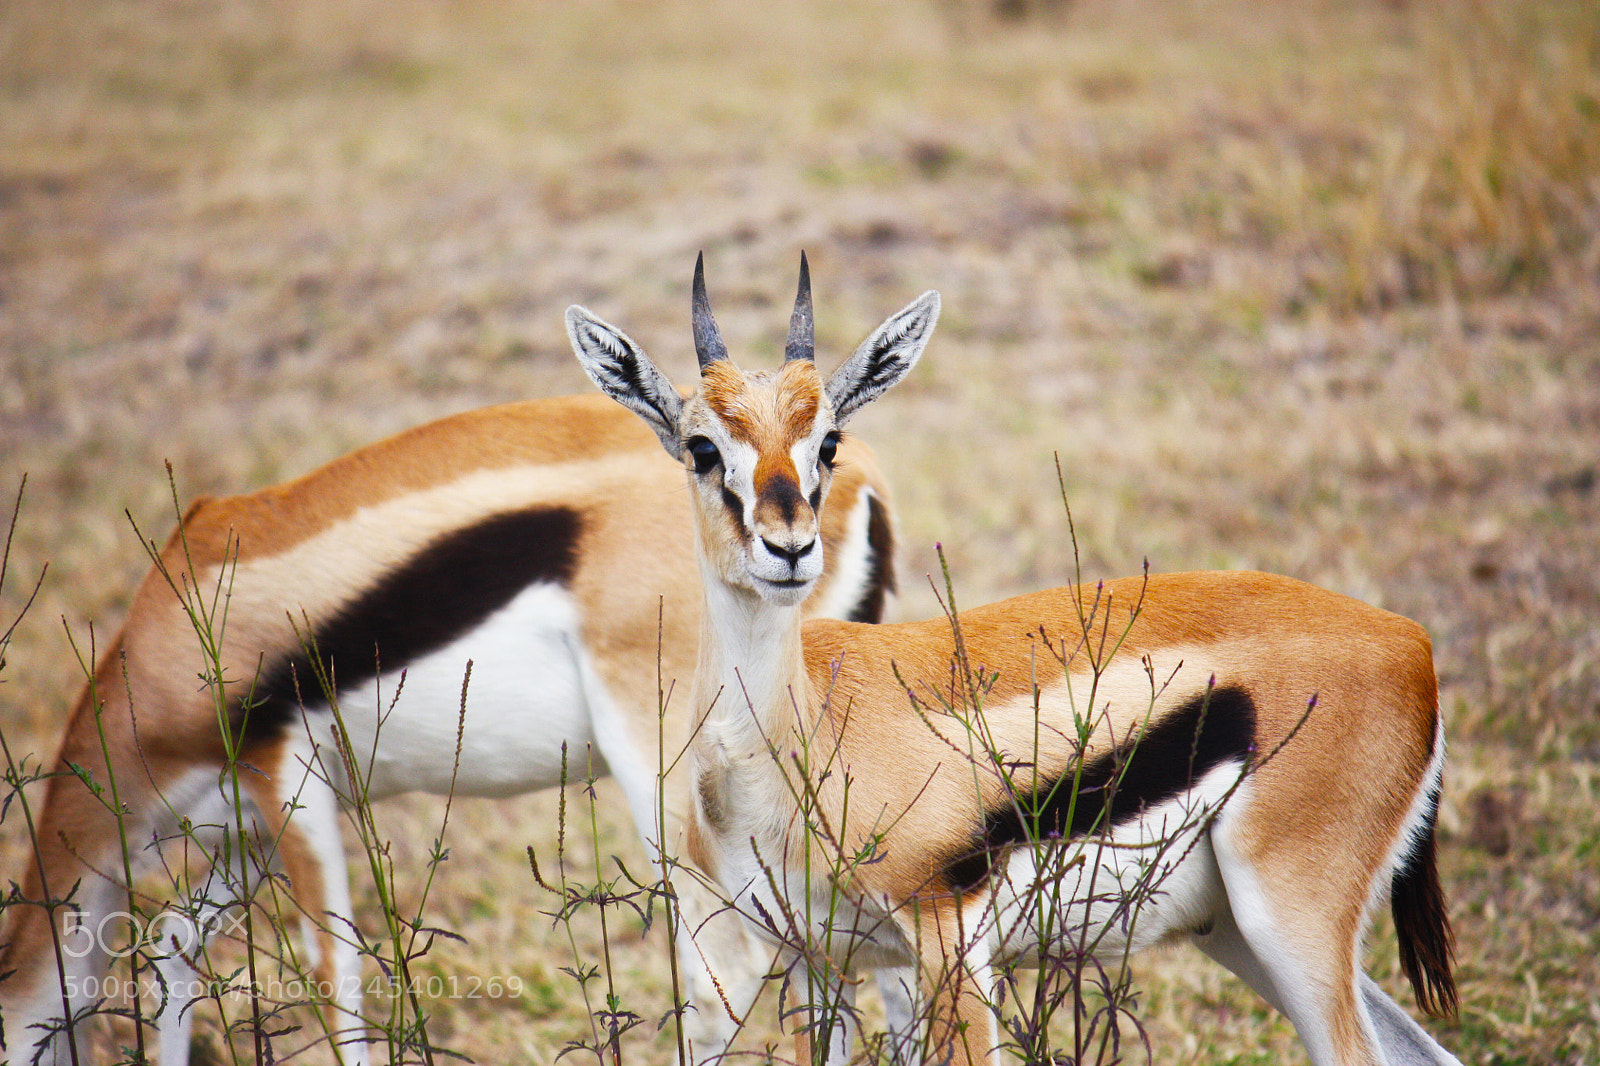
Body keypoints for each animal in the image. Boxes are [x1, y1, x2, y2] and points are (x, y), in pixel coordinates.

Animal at [0, 389, 900, 1065]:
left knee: (726, 977)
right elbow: (172, 946)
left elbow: (335, 983)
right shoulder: (241, 836)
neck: (159, 640)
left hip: (667, 772)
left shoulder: (288, 788)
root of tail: (851, 477)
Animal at [566, 255, 1464, 1066]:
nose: (789, 549)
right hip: (1234, 931)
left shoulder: (948, 940)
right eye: (700, 447)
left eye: (828, 441)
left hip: (1287, 921)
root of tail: (1409, 641)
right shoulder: (813, 960)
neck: (796, 732)